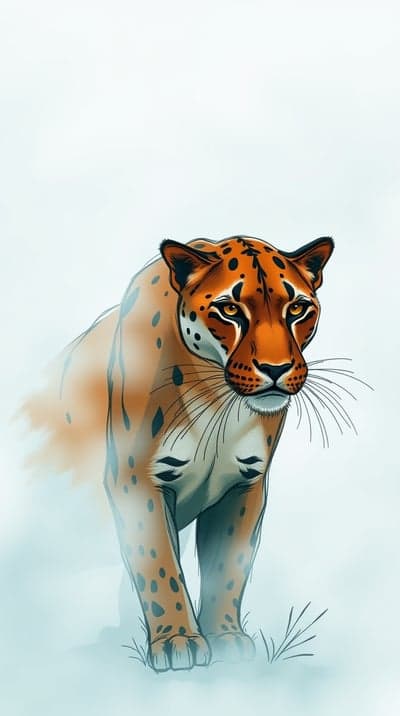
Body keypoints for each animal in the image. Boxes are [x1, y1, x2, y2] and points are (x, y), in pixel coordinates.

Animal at [23, 234, 334, 672]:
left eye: (297, 308)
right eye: (230, 309)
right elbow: (159, 565)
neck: (218, 401)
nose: (276, 369)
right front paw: (177, 641)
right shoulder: (135, 481)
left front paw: (225, 636)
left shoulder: (245, 486)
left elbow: (227, 568)